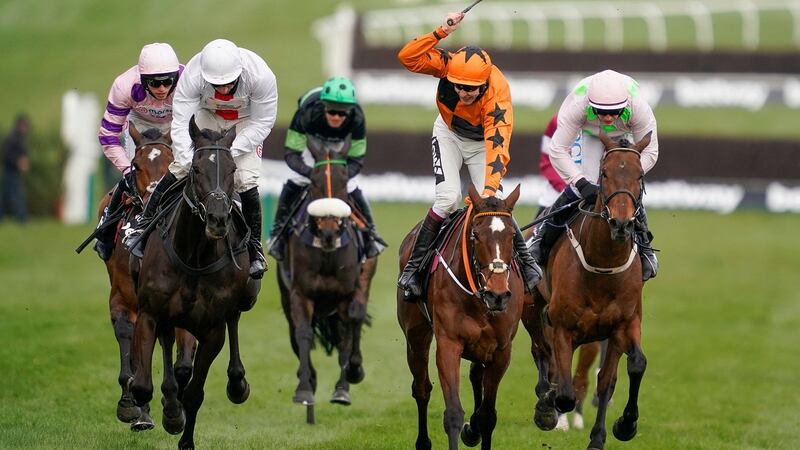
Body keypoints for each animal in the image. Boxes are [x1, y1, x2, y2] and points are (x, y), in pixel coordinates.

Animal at [92, 124, 195, 432]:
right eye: (136, 166)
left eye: (172, 161)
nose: (153, 198)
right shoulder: (123, 298)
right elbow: (130, 340)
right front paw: (130, 404)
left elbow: (182, 361)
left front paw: (174, 408)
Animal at [130, 117, 258, 450]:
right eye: (197, 169)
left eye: (232, 169)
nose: (217, 219)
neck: (194, 256)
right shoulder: (149, 313)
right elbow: (143, 386)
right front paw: (168, 412)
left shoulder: (212, 330)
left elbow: (195, 393)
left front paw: (184, 435)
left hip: (244, 296)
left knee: (234, 320)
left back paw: (237, 383)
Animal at [278, 136, 378, 422]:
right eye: (314, 181)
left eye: (344, 181)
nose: (329, 232)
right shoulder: (300, 294)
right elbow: (303, 334)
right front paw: (304, 388)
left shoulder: (345, 296)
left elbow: (347, 337)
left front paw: (342, 389)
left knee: (356, 320)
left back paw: (355, 369)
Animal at [398, 184, 524, 450]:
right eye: (476, 235)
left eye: (512, 235)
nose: (498, 295)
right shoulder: (449, 344)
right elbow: (454, 413)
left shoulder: (501, 350)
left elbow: (487, 415)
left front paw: (474, 428)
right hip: (415, 336)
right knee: (421, 388)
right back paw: (423, 442)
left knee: (476, 375)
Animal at [524, 132, 648, 450]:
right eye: (604, 174)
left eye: (640, 175)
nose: (621, 223)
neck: (603, 264)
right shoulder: (563, 326)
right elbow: (563, 388)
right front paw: (550, 412)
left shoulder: (622, 324)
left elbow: (623, 372)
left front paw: (621, 427)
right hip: (532, 310)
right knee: (542, 354)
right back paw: (547, 405)